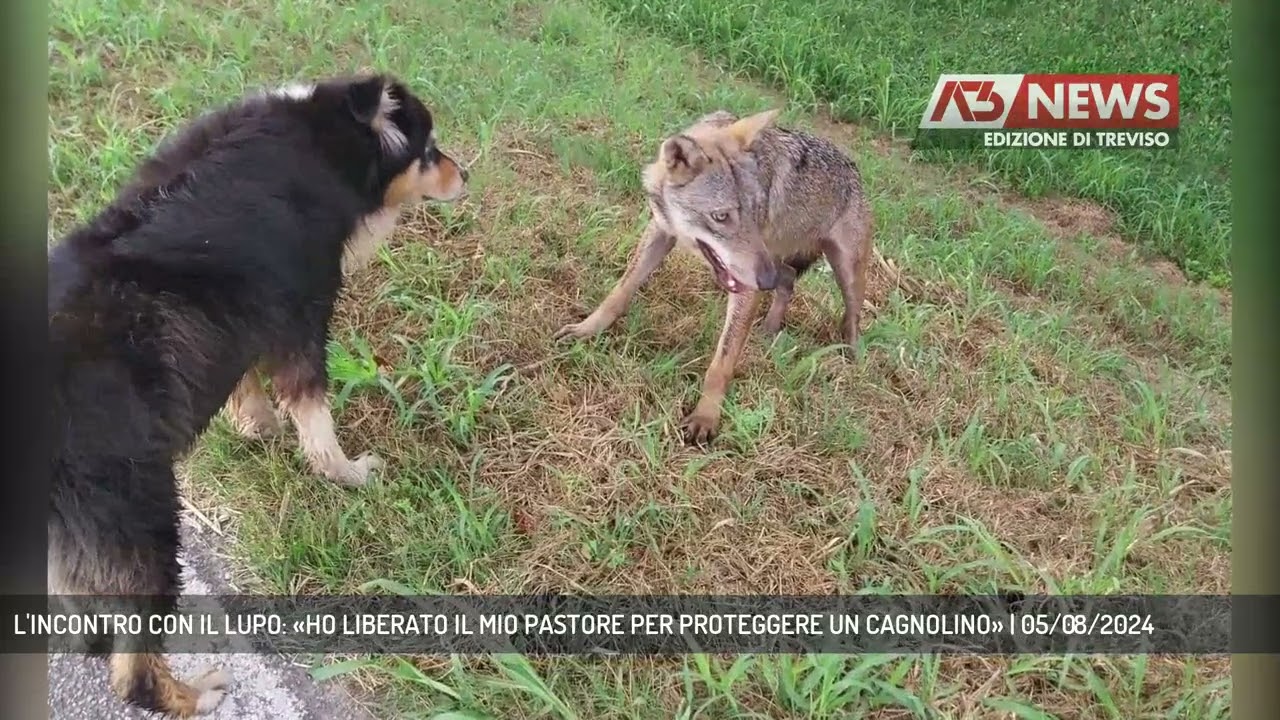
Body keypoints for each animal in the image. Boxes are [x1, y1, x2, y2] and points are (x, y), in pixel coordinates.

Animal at [555, 109, 873, 444]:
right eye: (721, 217)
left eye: (757, 212)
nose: (765, 281)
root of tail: (853, 166)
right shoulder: (661, 231)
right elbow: (619, 293)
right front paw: (586, 331)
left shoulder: (747, 284)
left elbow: (722, 362)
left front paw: (706, 417)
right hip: (780, 260)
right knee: (788, 282)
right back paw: (770, 328)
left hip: (844, 271)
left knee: (851, 317)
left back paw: (853, 357)